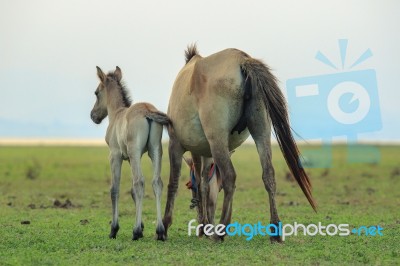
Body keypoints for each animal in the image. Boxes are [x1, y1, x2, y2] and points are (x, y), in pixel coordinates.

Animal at [90, 66, 170, 241]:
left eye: (96, 92)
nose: (93, 116)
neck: (117, 113)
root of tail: (147, 110)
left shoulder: (115, 156)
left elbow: (115, 189)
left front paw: (114, 229)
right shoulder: (134, 157)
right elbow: (133, 192)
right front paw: (143, 225)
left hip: (134, 152)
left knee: (140, 182)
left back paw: (136, 231)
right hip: (155, 150)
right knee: (156, 183)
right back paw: (160, 231)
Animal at [162, 45, 316, 241]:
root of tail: (242, 59)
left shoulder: (177, 144)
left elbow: (175, 183)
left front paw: (165, 226)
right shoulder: (204, 152)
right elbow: (204, 184)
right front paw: (205, 225)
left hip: (218, 139)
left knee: (230, 176)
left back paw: (220, 231)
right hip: (261, 132)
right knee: (268, 174)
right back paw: (274, 230)